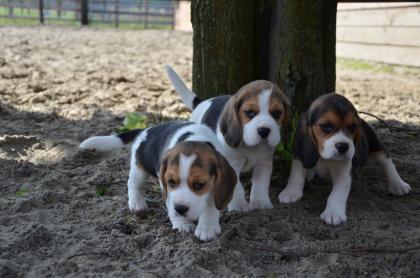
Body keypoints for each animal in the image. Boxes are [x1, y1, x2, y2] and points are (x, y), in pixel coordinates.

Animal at [79, 122, 236, 241]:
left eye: (199, 185)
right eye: (171, 182)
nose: (180, 209)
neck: (195, 138)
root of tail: (146, 130)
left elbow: (211, 204)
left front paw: (206, 227)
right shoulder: (167, 188)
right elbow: (170, 202)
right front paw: (182, 223)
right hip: (138, 169)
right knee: (133, 184)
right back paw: (137, 203)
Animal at [166, 66, 290, 212]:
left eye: (277, 113)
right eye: (250, 112)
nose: (264, 131)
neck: (250, 146)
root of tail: (202, 102)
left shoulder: (263, 163)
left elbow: (261, 184)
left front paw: (261, 203)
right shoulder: (231, 163)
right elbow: (236, 187)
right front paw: (238, 205)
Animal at [278, 93, 410, 226]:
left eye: (352, 127)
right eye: (326, 126)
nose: (343, 146)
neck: (324, 158)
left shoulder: (343, 174)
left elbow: (337, 194)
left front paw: (333, 213)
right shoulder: (299, 157)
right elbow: (296, 174)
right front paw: (291, 192)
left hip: (376, 146)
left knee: (387, 162)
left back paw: (398, 184)